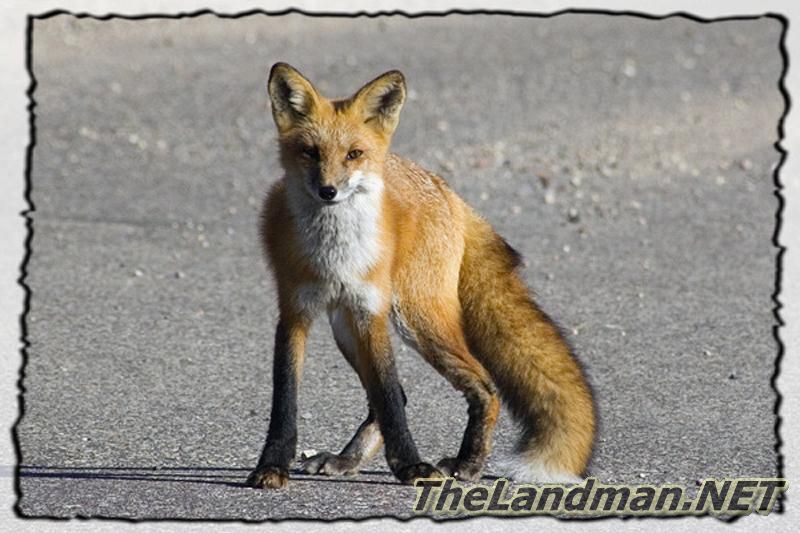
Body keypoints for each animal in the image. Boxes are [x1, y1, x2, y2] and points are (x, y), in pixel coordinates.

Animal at [246, 62, 596, 489]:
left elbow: (390, 398)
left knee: (482, 387)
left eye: (354, 154)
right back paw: (348, 461)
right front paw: (271, 466)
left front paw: (411, 466)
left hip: (417, 319)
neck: (335, 256)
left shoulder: (373, 313)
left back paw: (468, 464)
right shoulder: (295, 312)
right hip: (346, 327)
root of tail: (447, 191)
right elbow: (286, 400)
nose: (329, 191)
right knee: (395, 394)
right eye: (310, 152)